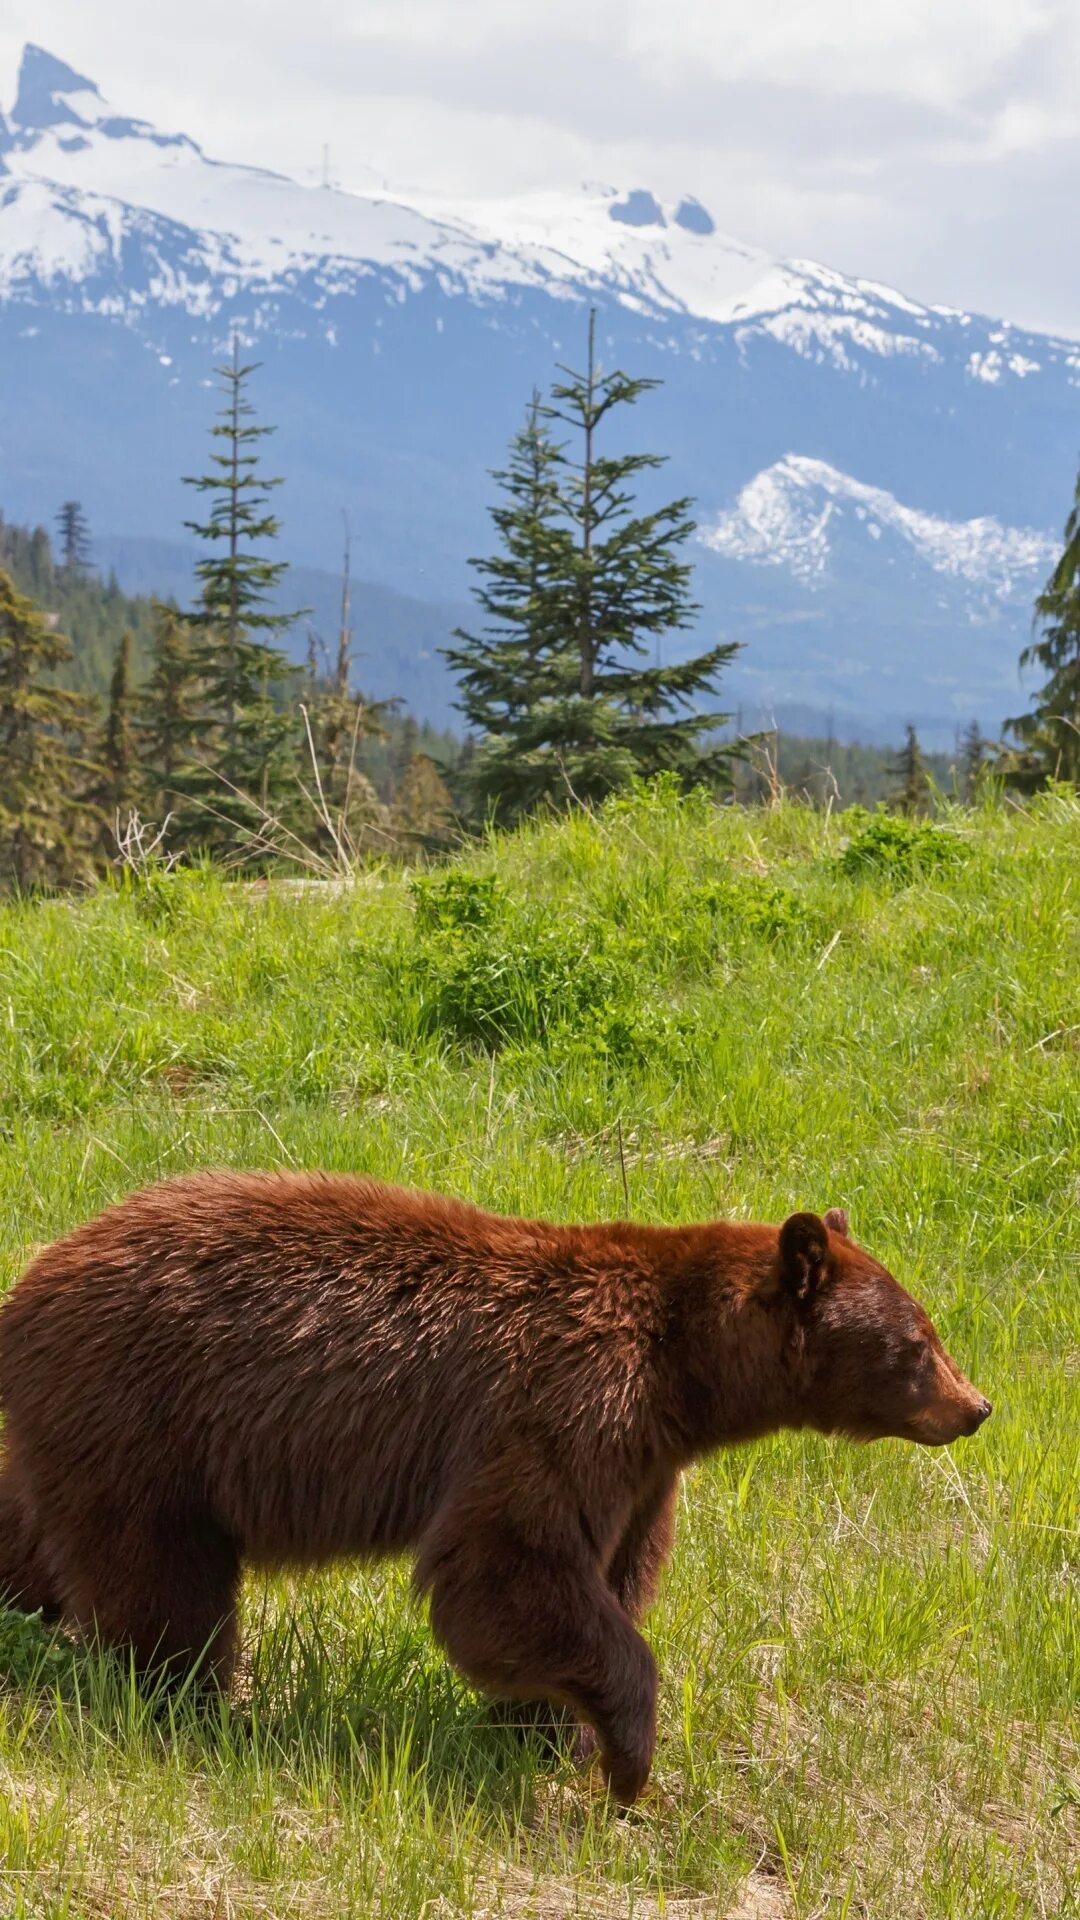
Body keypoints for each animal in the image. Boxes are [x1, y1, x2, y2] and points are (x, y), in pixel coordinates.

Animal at [0, 1167, 991, 1797]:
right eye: (917, 1343)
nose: (976, 1407)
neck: (685, 1375)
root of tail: (33, 1278)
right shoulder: (568, 1401)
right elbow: (508, 1564)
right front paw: (625, 1757)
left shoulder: (643, 1466)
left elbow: (609, 1577)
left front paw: (545, 1734)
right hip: (146, 1421)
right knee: (159, 1585)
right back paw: (194, 1709)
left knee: (36, 1538)